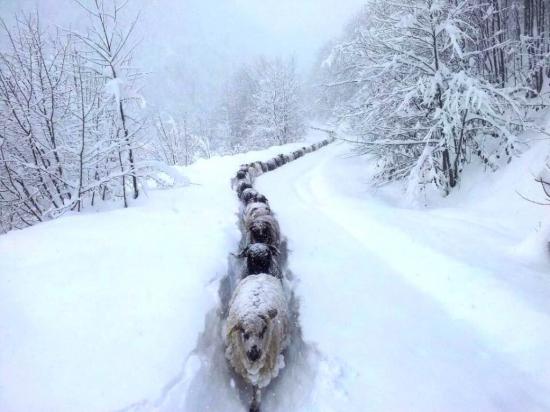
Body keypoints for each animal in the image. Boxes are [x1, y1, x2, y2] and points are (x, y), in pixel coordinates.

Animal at [225, 272, 292, 404]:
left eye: (263, 331)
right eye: (244, 333)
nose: (254, 354)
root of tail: (259, 274)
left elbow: (257, 388)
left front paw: (256, 403)